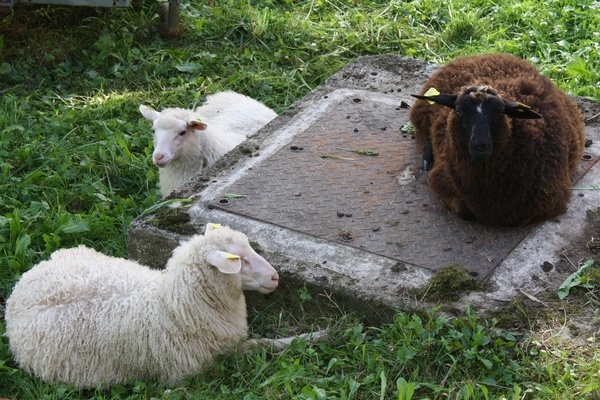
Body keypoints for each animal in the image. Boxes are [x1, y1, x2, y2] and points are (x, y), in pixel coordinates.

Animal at [3, 223, 280, 386]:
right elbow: (261, 345)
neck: (177, 307)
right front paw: (288, 343)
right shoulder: (198, 368)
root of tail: (17, 296)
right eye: (240, 260)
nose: (275, 277)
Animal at [408, 53, 584, 227]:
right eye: (458, 110)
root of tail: (484, 55)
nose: (481, 146)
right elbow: (465, 212)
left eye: (500, 111)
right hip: (425, 112)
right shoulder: (441, 179)